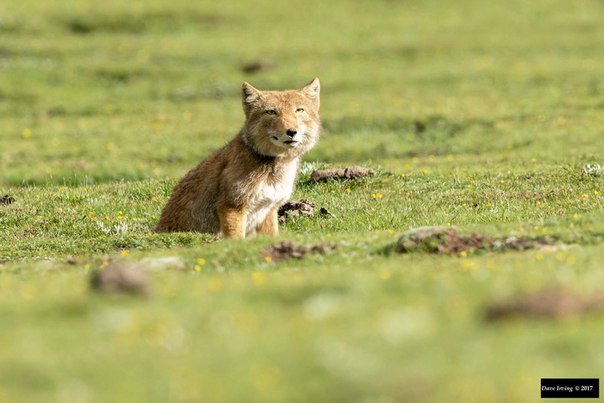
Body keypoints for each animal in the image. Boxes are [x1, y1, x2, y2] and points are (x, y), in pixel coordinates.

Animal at [155, 77, 320, 238]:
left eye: (299, 110)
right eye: (271, 112)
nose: (292, 132)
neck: (273, 167)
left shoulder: (268, 209)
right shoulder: (232, 206)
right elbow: (236, 238)